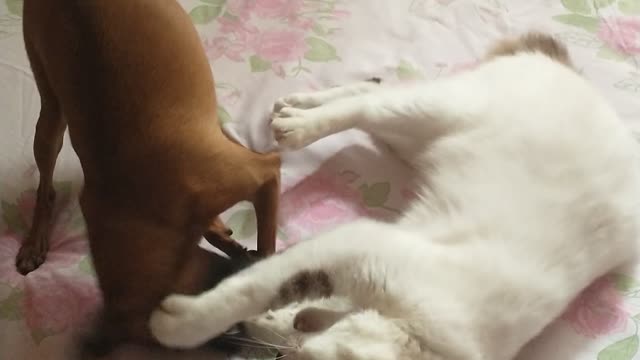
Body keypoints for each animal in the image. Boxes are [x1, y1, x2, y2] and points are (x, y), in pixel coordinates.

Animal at [16, 0, 280, 350]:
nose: (249, 350)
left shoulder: (264, 174)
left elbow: (266, 246)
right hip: (50, 112)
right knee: (46, 189)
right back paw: (34, 242)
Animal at [148, 32, 640, 358]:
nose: (290, 354)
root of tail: (569, 70)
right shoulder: (362, 247)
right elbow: (259, 286)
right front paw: (181, 325)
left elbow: (293, 303)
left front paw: (291, 321)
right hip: (433, 112)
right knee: (366, 104)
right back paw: (297, 122)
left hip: (414, 137)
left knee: (371, 92)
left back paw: (296, 106)